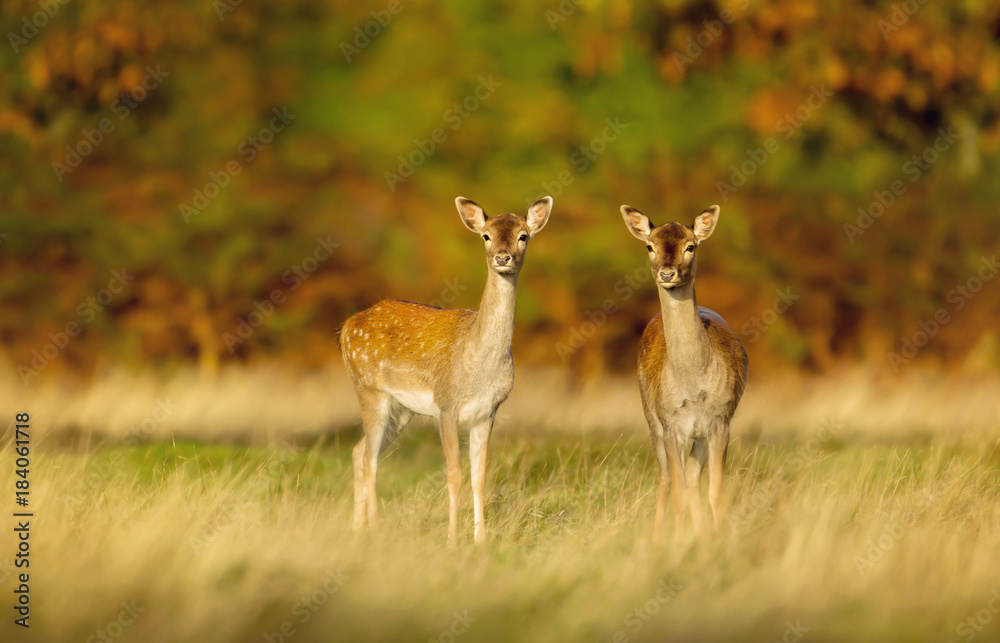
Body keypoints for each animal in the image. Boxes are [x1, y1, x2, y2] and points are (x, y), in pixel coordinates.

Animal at [340, 196, 553, 544]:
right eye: (486, 236)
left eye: (523, 236)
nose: (502, 257)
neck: (479, 365)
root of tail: (345, 328)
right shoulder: (446, 404)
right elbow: (454, 474)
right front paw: (453, 539)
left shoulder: (488, 411)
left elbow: (479, 476)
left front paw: (480, 540)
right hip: (369, 389)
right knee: (370, 459)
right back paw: (375, 530)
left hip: (401, 410)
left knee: (359, 452)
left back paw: (357, 529)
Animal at [619, 203, 748, 540]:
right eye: (649, 246)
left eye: (691, 246)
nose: (667, 273)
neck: (692, 387)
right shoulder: (671, 424)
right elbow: (676, 491)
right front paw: (675, 542)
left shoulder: (720, 420)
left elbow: (716, 493)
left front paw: (717, 539)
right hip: (650, 414)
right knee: (665, 478)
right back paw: (657, 537)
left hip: (699, 433)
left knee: (691, 478)